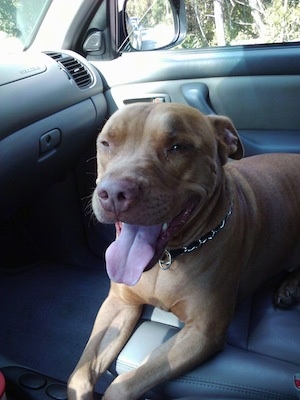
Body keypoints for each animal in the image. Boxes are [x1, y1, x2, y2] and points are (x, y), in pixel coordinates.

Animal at [68, 104, 300, 400]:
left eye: (178, 147)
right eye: (106, 143)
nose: (114, 193)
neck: (169, 258)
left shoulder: (202, 333)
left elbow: (125, 383)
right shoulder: (119, 304)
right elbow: (81, 373)